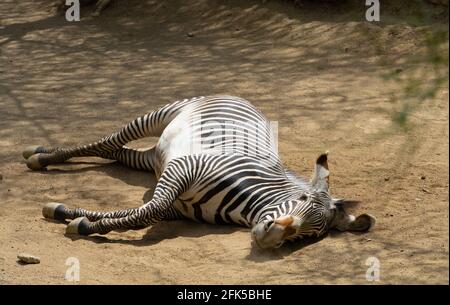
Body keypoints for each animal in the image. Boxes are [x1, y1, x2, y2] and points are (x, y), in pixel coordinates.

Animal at [23, 96, 376, 248]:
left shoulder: (178, 206)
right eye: (301, 199)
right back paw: (40, 157)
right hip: (162, 115)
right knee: (107, 142)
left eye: (313, 235)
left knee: (115, 153)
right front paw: (79, 222)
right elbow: (148, 211)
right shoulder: (184, 168)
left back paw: (41, 155)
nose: (271, 239)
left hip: (154, 157)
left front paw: (76, 217)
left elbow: (139, 213)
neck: (249, 203)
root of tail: (241, 97)